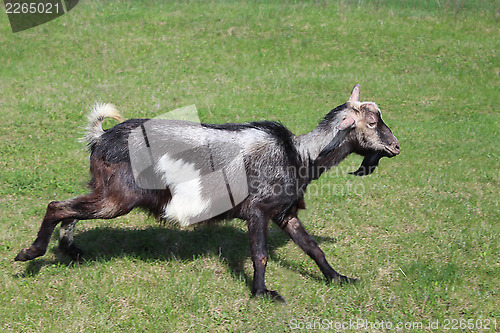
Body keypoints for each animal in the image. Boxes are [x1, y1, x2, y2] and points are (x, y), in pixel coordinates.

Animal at [13, 83, 400, 300]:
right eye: (371, 122)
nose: (396, 146)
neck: (297, 153)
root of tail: (100, 138)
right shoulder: (258, 210)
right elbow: (259, 253)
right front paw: (263, 294)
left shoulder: (284, 212)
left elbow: (312, 248)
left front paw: (339, 278)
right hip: (117, 199)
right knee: (57, 205)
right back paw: (30, 254)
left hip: (105, 193)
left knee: (71, 208)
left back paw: (71, 251)